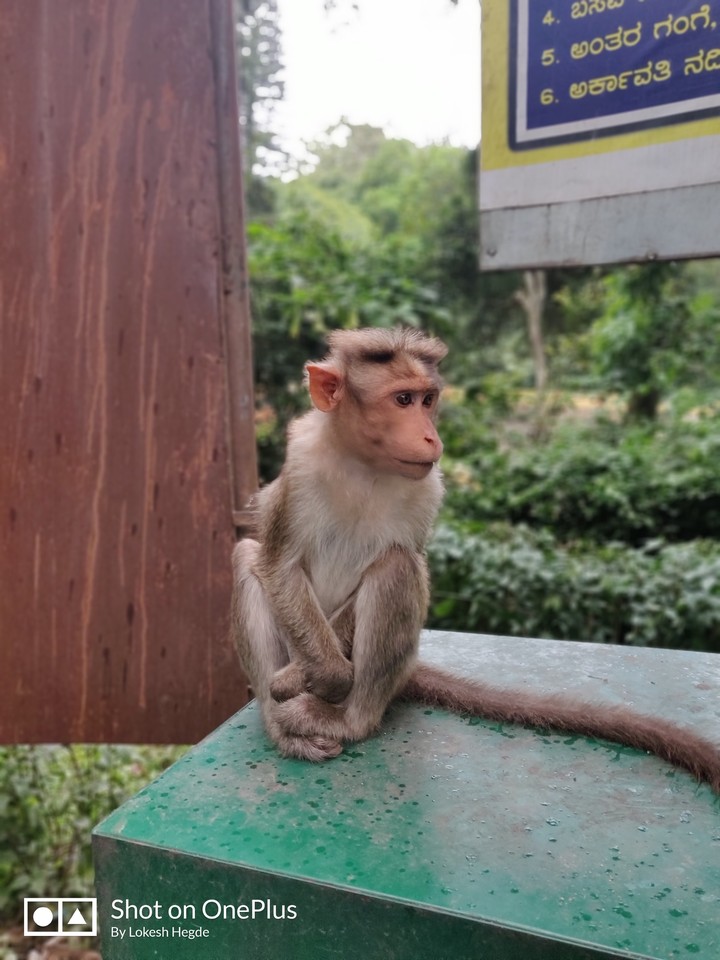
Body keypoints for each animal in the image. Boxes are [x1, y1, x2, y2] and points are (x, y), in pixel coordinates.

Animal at [231, 327, 720, 792]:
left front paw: (318, 678)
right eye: (403, 400)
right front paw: (320, 674)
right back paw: (281, 724)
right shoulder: (300, 466)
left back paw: (347, 718)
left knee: (397, 566)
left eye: (428, 400)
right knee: (246, 557)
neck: (364, 466)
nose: (431, 436)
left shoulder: (429, 489)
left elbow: (400, 558)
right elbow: (278, 565)